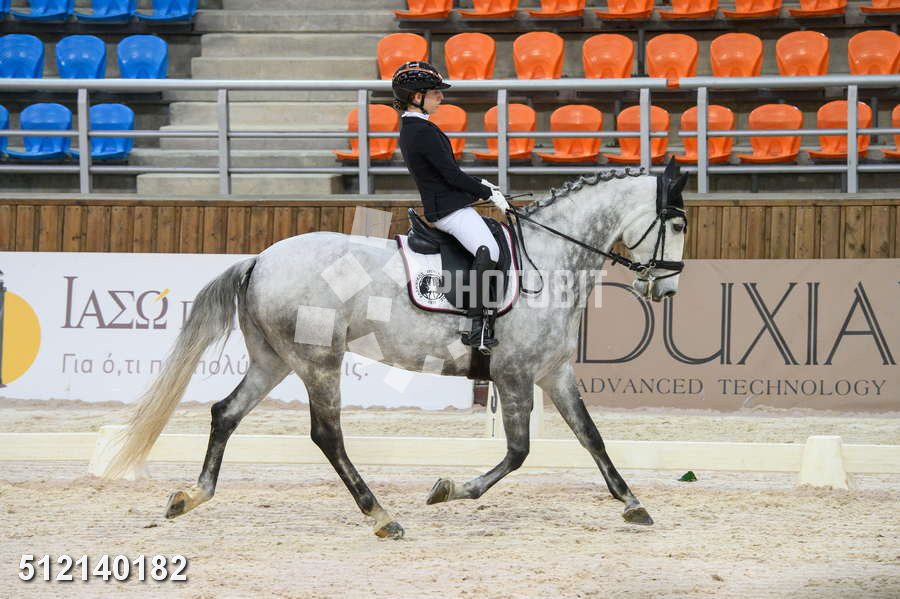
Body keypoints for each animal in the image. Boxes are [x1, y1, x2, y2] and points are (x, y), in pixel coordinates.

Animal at [104, 160, 689, 540]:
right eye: (679, 224)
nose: (667, 290)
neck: (548, 261)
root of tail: (260, 259)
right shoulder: (516, 374)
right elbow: (519, 451)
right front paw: (448, 490)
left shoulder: (554, 373)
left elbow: (592, 437)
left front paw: (633, 504)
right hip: (317, 360)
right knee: (326, 434)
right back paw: (381, 515)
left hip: (275, 360)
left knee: (225, 413)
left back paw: (191, 496)